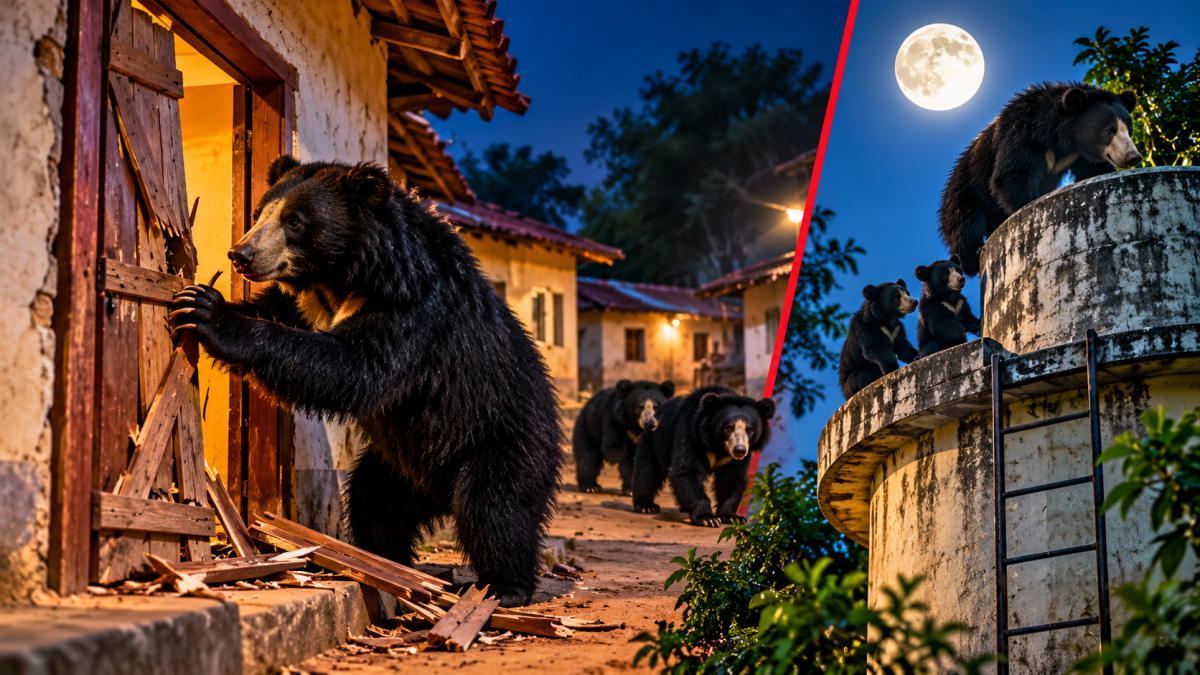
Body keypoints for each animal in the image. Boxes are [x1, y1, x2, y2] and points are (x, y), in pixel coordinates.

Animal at [170, 155, 562, 607]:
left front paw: (208, 313)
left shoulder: (413, 312)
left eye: (295, 222)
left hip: (501, 440)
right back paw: (384, 560)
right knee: (373, 502)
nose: (240, 254)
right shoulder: (308, 305)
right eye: (259, 214)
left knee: (494, 506)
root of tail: (438, 494)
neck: (344, 274)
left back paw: (501, 587)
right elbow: (280, 314)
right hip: (397, 466)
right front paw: (194, 298)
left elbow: (354, 367)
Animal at [631, 385, 774, 527]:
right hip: (654, 441)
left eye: (750, 430)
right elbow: (687, 471)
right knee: (647, 472)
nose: (739, 450)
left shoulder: (735, 460)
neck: (718, 446)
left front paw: (733, 517)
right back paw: (646, 506)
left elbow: (731, 478)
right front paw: (708, 518)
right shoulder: (691, 435)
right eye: (728, 428)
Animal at [939, 81, 1140, 275]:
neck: (1062, 136)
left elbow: (1091, 169)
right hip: (964, 194)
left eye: (1129, 129)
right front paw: (1027, 209)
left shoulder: (1077, 153)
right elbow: (1011, 174)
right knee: (966, 224)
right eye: (1108, 131)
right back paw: (974, 256)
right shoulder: (1022, 134)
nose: (1133, 156)